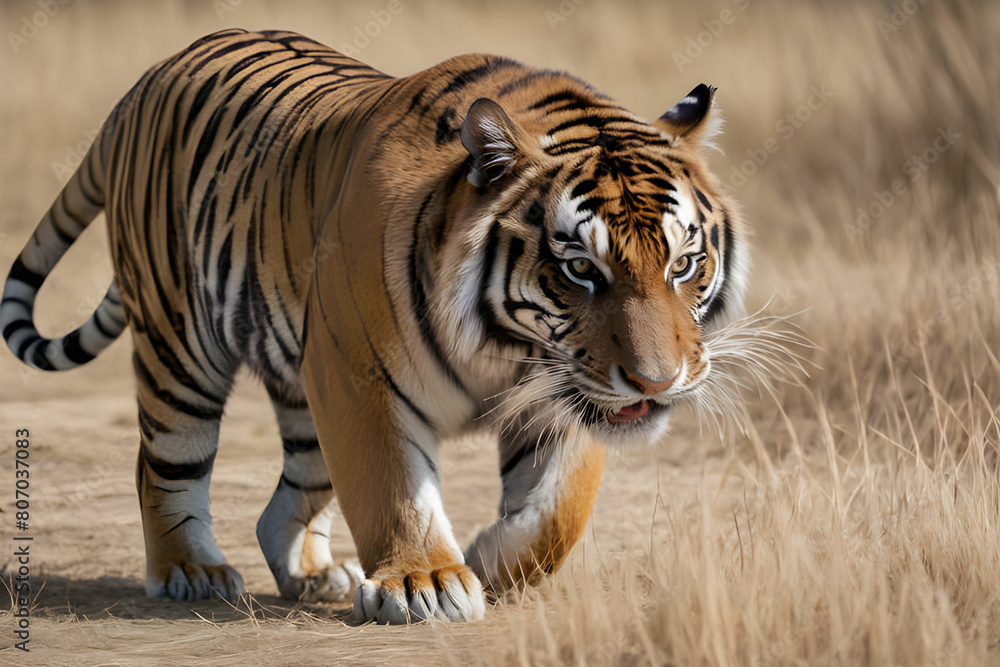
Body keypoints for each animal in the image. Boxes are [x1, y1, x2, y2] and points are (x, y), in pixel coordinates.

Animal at [0, 29, 748, 624]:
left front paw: (494, 560)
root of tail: (150, 76)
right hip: (181, 341)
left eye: (683, 263)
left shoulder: (560, 389)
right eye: (581, 269)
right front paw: (428, 581)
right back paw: (193, 570)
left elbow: (561, 509)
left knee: (296, 483)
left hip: (297, 372)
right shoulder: (357, 369)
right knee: (163, 461)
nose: (657, 381)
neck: (507, 348)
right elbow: (391, 485)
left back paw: (310, 573)